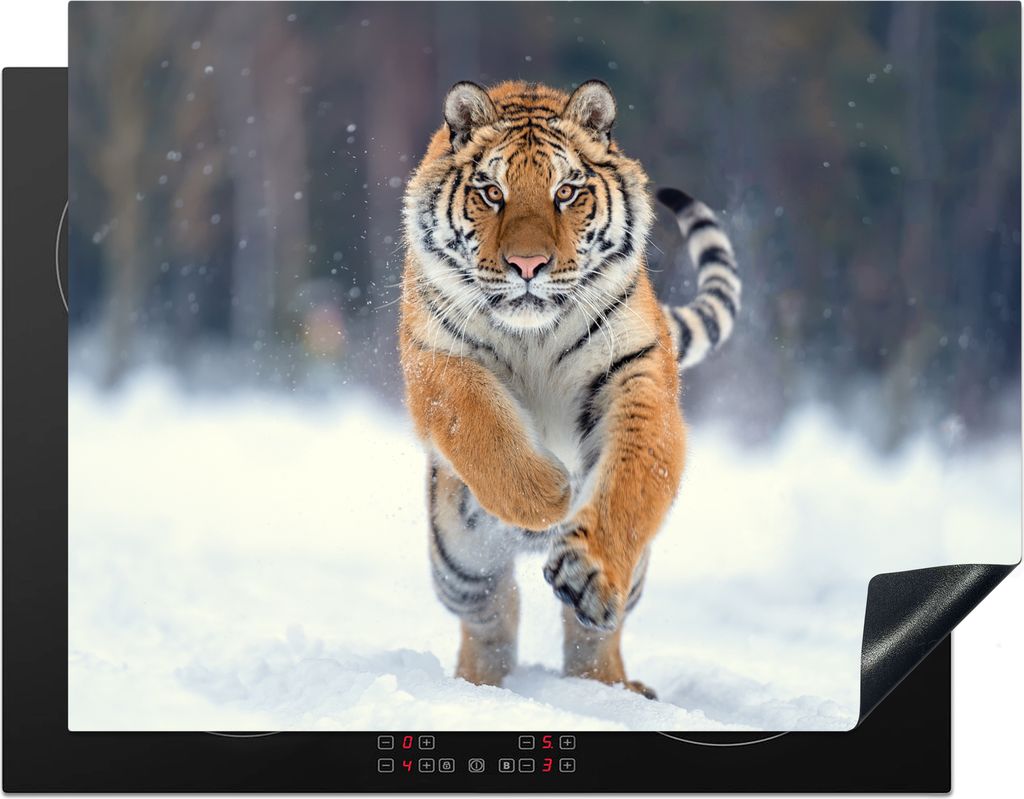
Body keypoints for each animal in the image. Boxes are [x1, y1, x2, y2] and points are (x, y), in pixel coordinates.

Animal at [399, 79, 741, 699]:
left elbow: (633, 478)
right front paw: (549, 494)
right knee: (492, 613)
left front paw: (588, 569)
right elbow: (481, 426)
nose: (528, 264)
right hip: (459, 562)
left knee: (591, 634)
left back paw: (611, 688)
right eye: (492, 192)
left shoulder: (636, 373)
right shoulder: (437, 359)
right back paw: (478, 686)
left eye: (566, 192)